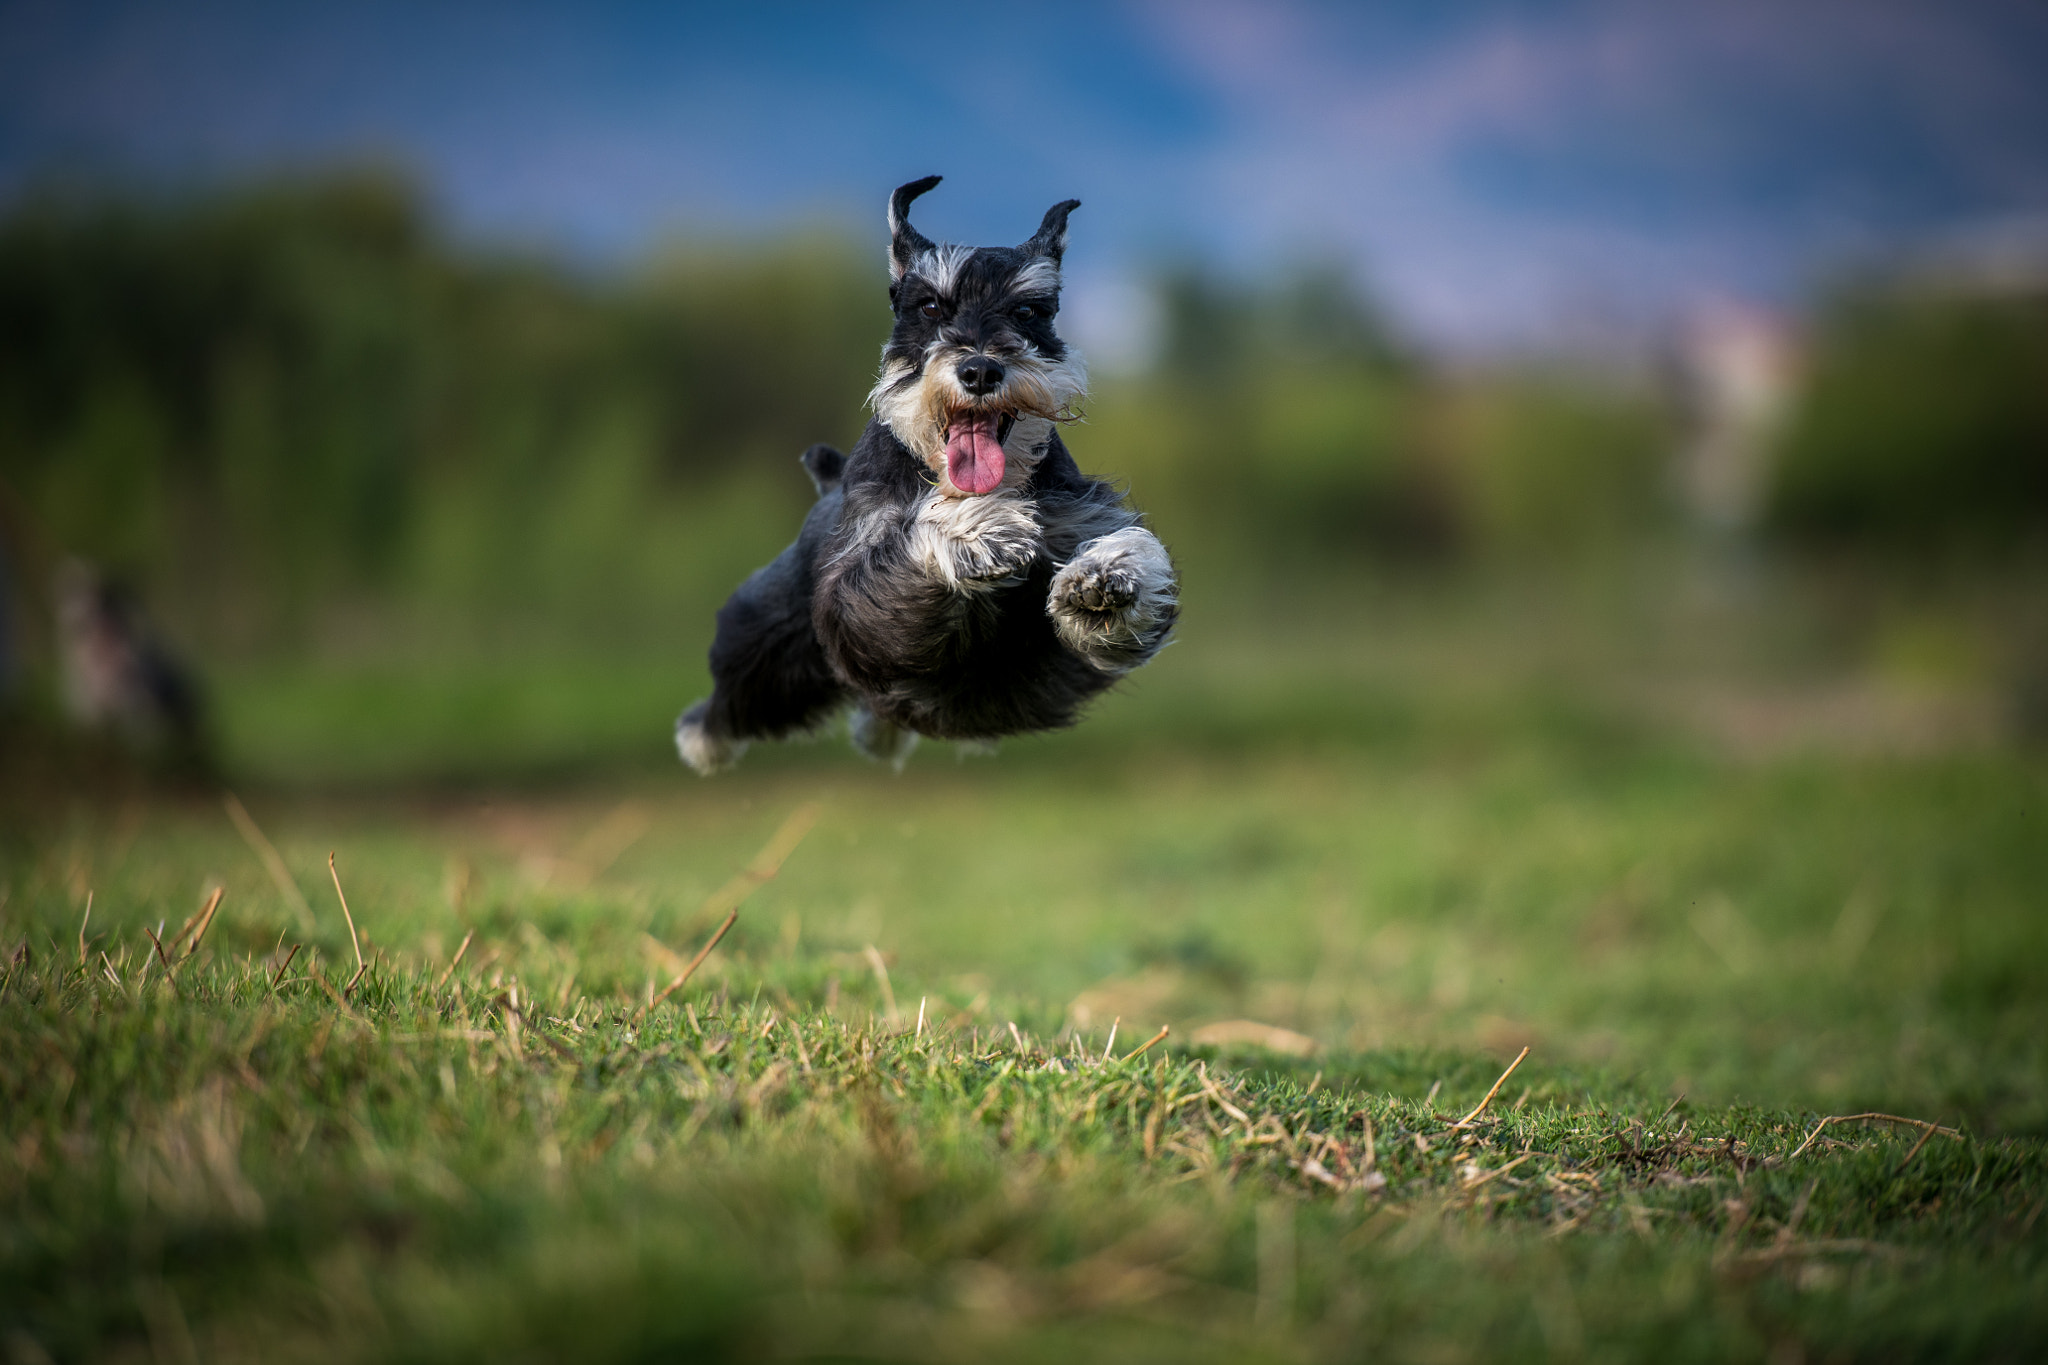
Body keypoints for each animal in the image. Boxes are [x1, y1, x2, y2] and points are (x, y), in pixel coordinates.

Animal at [679, 171, 1179, 773]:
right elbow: (914, 541)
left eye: (1029, 311)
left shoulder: (1084, 518)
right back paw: (701, 742)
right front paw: (981, 529)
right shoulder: (860, 593)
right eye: (931, 307)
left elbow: (1134, 558)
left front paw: (1103, 578)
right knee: (731, 699)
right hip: (767, 651)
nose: (981, 369)